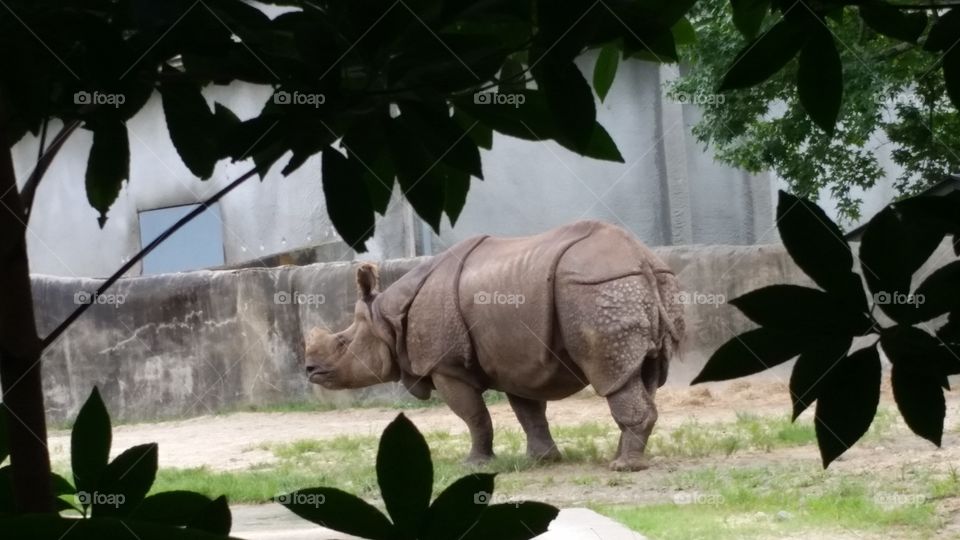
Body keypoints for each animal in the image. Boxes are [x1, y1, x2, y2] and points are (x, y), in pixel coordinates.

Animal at [304, 220, 684, 471]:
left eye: (341, 343)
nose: (309, 370)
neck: (388, 319)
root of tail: (641, 258)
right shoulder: (516, 360)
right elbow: (529, 412)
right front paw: (542, 460)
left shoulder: (445, 365)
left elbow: (474, 415)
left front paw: (474, 465)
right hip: (648, 283)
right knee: (644, 373)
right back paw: (623, 458)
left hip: (596, 289)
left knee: (611, 372)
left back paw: (623, 467)